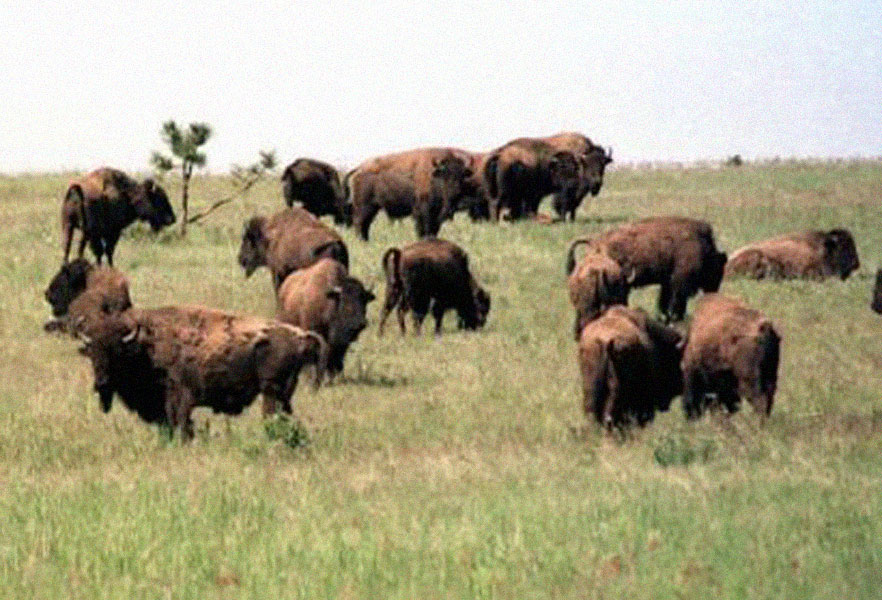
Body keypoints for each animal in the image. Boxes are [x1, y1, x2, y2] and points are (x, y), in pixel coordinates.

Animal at [75, 306, 328, 439]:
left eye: (116, 352)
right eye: (92, 353)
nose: (101, 383)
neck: (145, 346)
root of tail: (300, 335)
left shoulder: (180, 397)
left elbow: (180, 423)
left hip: (270, 391)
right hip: (284, 394)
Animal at [576, 216, 727, 322]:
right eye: (717, 270)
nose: (714, 291)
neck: (703, 248)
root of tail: (595, 243)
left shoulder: (667, 283)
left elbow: (664, 301)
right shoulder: (679, 284)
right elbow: (676, 301)